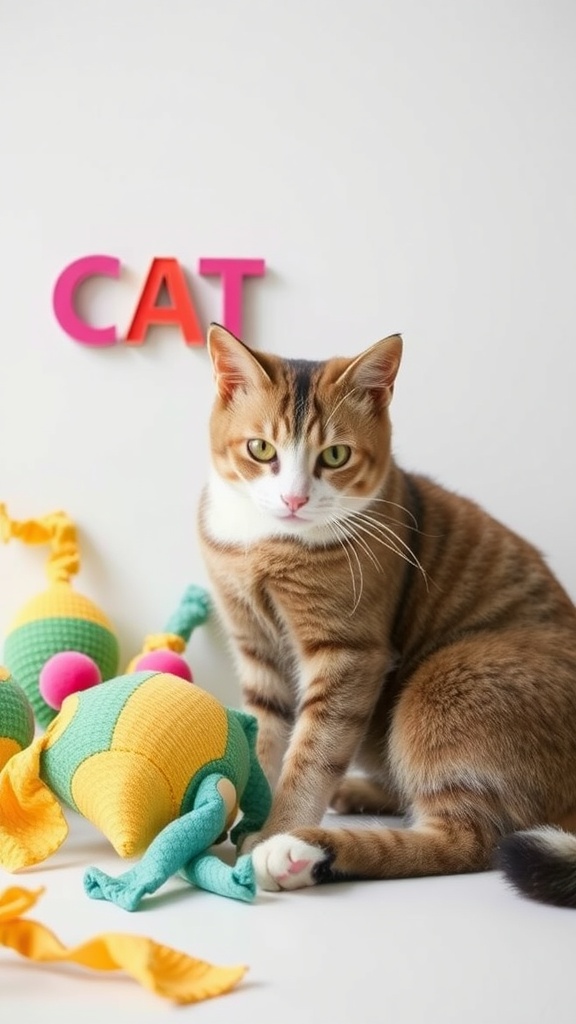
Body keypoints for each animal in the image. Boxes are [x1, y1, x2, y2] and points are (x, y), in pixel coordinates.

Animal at [194, 319, 573, 905]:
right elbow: (265, 737)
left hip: (445, 679)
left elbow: (311, 754)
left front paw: (276, 827)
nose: (294, 499)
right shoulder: (255, 646)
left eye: (335, 456)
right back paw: (359, 795)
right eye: (260, 448)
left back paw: (303, 852)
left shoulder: (350, 653)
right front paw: (238, 813)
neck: (267, 546)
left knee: (468, 841)